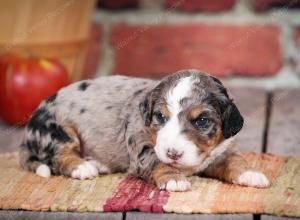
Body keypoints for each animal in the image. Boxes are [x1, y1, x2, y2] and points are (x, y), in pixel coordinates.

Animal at [19, 69, 270, 192]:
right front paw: (174, 179)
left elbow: (235, 160)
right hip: (58, 129)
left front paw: (251, 174)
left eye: (201, 121)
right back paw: (83, 167)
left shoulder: (221, 152)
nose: (173, 153)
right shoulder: (141, 144)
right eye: (160, 117)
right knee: (58, 156)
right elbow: (158, 161)